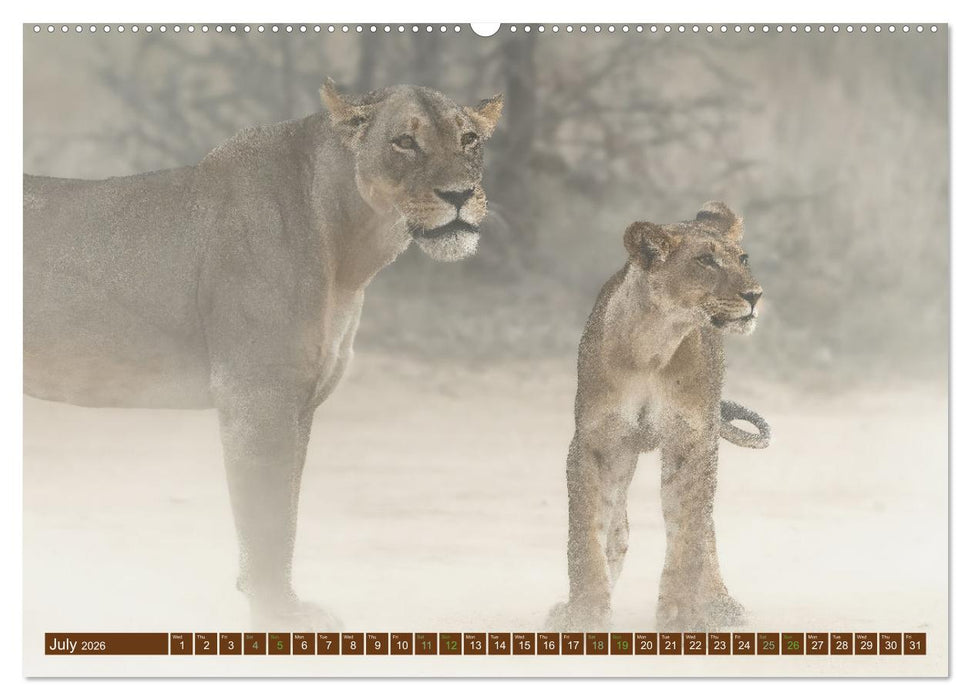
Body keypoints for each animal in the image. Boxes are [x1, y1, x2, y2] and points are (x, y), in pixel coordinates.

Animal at [23, 79, 503, 629]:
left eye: (468, 139)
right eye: (404, 141)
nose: (460, 195)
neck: (348, 250)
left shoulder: (299, 401)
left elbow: (287, 511)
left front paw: (278, 603)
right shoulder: (256, 395)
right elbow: (267, 517)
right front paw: (278, 616)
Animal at [547, 202, 771, 632]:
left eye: (743, 259)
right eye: (705, 261)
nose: (754, 295)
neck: (654, 345)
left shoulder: (692, 441)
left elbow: (689, 538)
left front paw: (682, 616)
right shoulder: (595, 442)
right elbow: (586, 535)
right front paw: (583, 614)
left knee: (705, 526)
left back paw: (719, 603)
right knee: (618, 529)